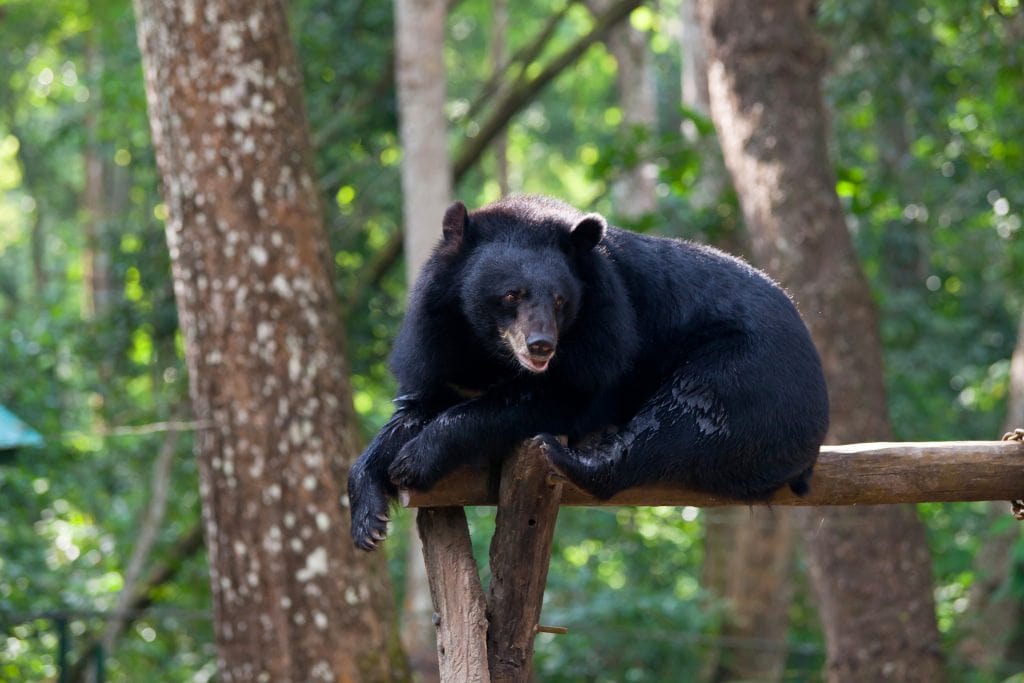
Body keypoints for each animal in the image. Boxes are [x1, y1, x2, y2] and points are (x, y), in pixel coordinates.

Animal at [347, 195, 829, 551]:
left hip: (749, 376)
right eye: (511, 294)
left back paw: (572, 456)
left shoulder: (603, 336)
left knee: (687, 423)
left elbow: (560, 398)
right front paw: (369, 519)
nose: (541, 346)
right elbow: (416, 406)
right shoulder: (438, 340)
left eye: (561, 301)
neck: (490, 352)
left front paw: (414, 460)